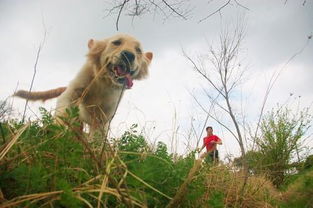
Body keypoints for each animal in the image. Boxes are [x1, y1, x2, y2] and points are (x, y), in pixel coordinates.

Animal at [14, 33, 154, 135]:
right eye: (116, 42)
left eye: (138, 50)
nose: (128, 55)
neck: (104, 82)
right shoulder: (72, 92)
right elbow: (63, 114)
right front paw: (55, 131)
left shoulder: (104, 117)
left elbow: (97, 137)